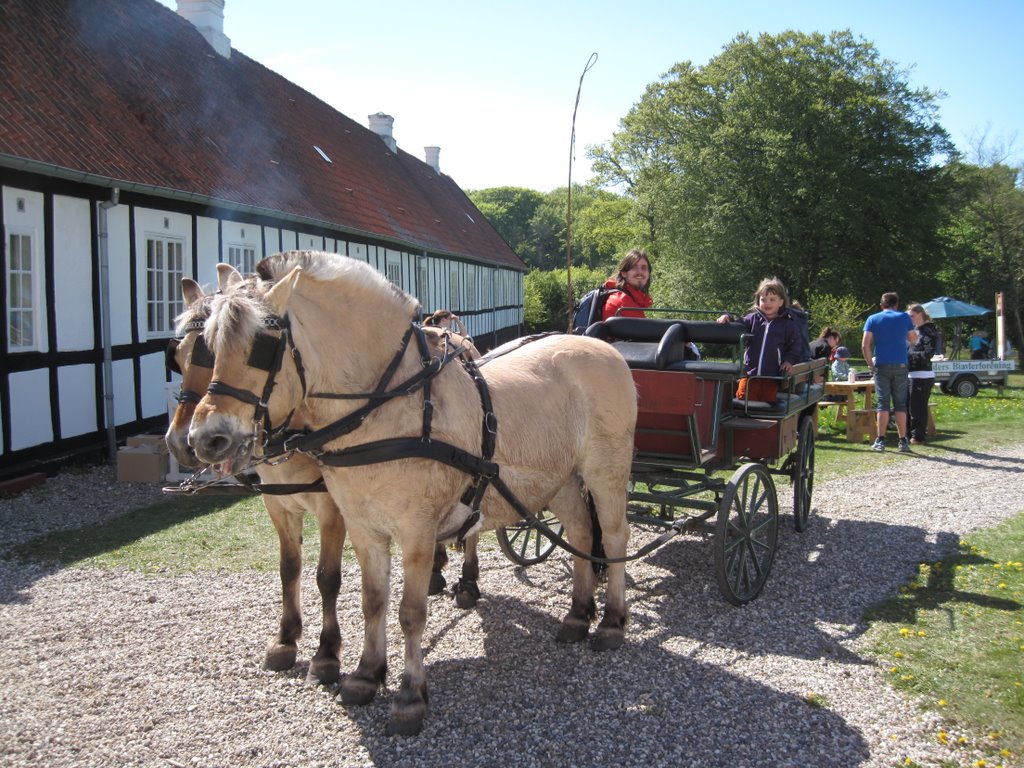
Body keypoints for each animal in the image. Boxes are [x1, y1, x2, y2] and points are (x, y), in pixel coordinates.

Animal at [187, 251, 637, 736]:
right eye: (208, 344)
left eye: (262, 345)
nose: (205, 439)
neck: (388, 407)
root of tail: (603, 349)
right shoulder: (362, 526)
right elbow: (372, 601)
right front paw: (366, 674)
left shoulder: (417, 532)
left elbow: (410, 611)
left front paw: (409, 695)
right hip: (562, 480)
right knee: (581, 532)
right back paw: (577, 615)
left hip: (605, 473)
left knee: (613, 537)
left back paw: (611, 622)